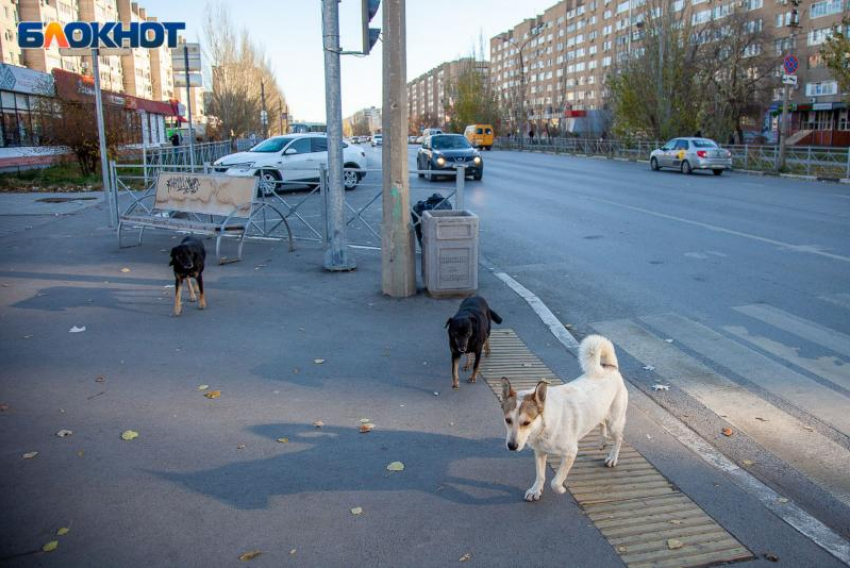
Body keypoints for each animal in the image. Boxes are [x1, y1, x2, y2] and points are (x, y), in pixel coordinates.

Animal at [500, 336, 628, 500]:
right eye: (507, 420)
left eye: (526, 422)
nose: (512, 446)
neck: (544, 427)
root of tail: (610, 367)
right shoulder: (539, 451)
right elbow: (540, 475)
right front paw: (536, 490)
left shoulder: (570, 453)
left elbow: (555, 481)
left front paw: (560, 489)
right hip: (600, 412)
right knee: (601, 423)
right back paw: (602, 442)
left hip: (614, 421)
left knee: (619, 438)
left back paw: (612, 458)